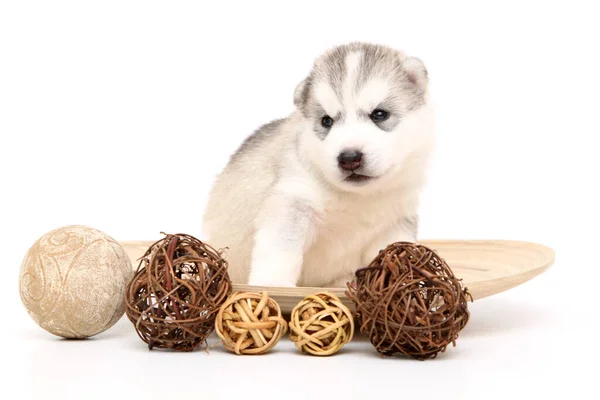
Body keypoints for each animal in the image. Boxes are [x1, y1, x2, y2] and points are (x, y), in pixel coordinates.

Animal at [204, 43, 434, 288]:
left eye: (379, 114)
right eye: (326, 121)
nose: (349, 157)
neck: (357, 198)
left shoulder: (395, 223)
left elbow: (393, 252)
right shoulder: (293, 202)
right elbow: (280, 253)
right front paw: (272, 285)